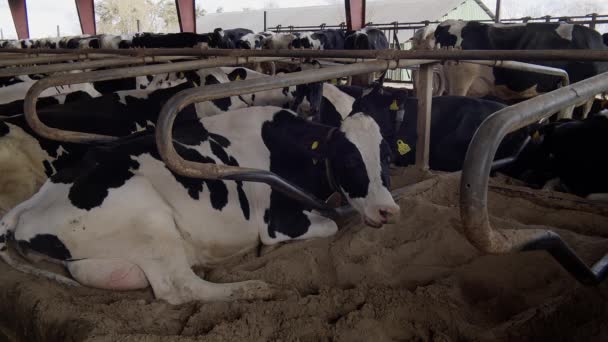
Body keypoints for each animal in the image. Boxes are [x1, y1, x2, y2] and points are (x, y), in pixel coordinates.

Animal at [0, 105, 400, 304]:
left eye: (386, 154)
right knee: (180, 288)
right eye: (349, 160)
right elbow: (332, 223)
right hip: (148, 216)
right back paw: (253, 289)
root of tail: (26, 208)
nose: (388, 211)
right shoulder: (278, 222)